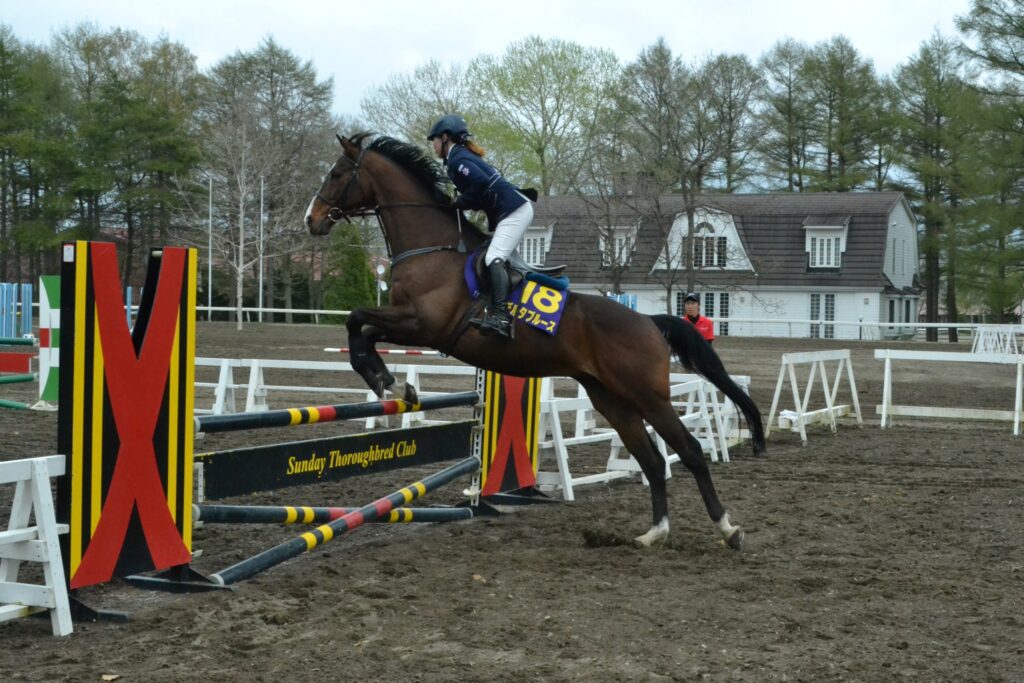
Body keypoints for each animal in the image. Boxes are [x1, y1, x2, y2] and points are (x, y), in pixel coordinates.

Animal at [304, 132, 765, 549]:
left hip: (648, 397)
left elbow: (357, 321)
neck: (431, 248)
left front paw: (382, 378)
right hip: (611, 399)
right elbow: (360, 327)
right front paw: (386, 379)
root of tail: (649, 321)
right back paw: (654, 533)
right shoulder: (409, 322)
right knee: (651, 461)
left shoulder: (422, 324)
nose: (312, 219)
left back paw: (728, 528)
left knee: (689, 451)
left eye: (337, 173)